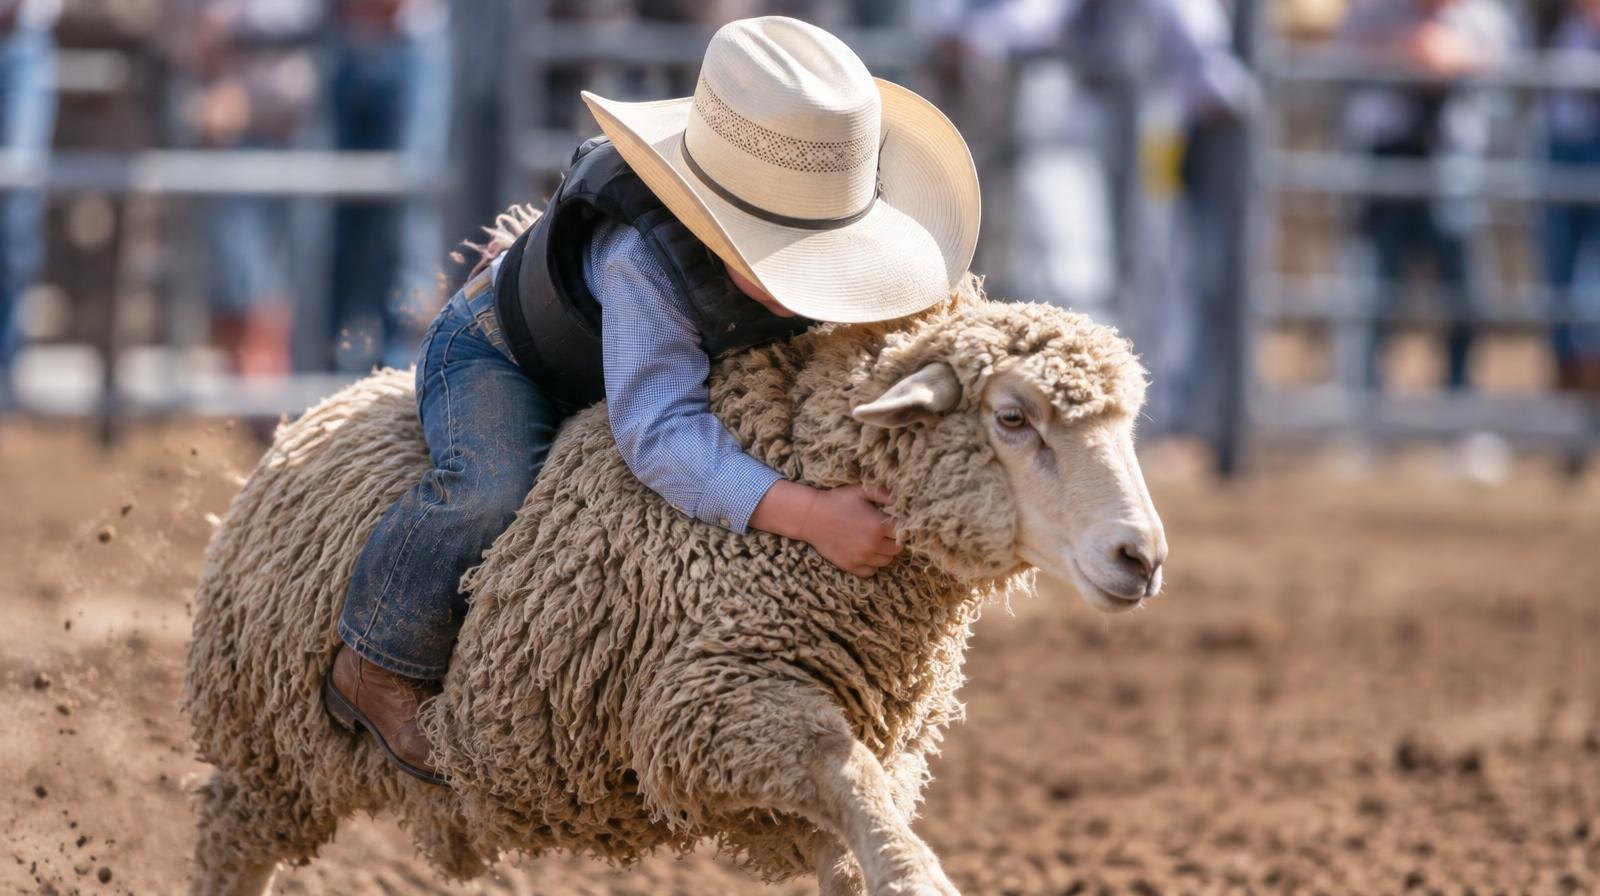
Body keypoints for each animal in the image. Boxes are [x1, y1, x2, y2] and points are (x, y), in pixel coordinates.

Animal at [182, 275, 1167, 896]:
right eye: (1013, 417)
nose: (1142, 557)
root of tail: (313, 415)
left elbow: (853, 820)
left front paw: (889, 869)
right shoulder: (717, 702)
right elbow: (840, 764)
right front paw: (917, 875)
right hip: (266, 753)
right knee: (229, 852)